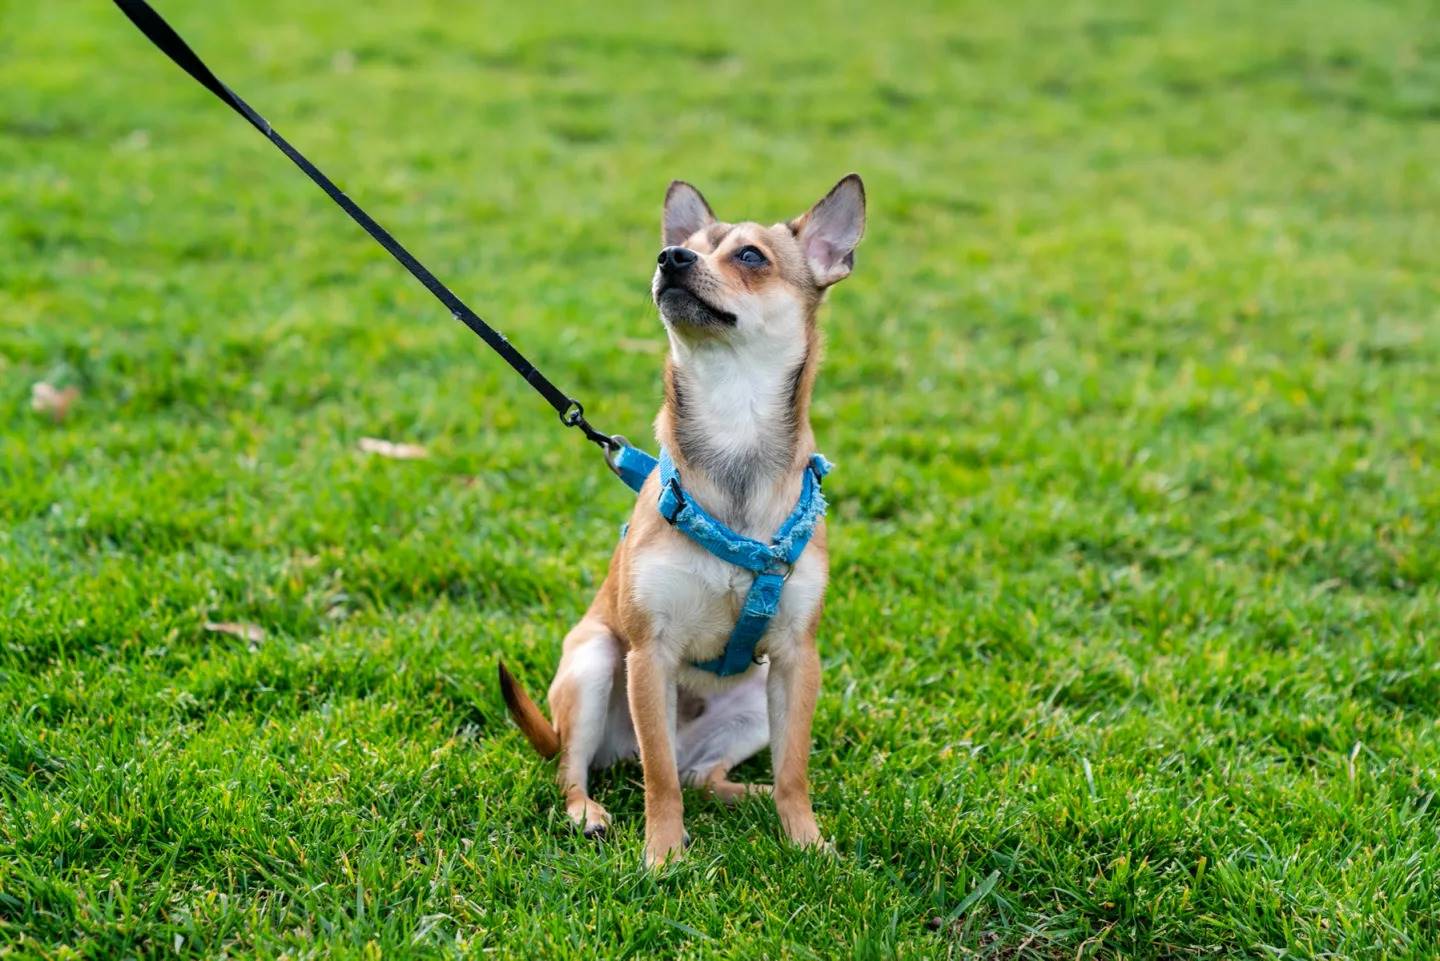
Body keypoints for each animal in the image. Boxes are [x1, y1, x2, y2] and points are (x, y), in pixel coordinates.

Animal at [504, 175, 864, 870]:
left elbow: (795, 771)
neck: (734, 424)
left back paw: (747, 794)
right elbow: (660, 777)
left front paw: (807, 843)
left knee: (701, 772)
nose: (671, 259)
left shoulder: (796, 658)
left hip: (754, 701)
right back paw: (588, 811)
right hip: (595, 661)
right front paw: (664, 856)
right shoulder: (651, 654)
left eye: (750, 256)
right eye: (684, 246)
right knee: (583, 768)